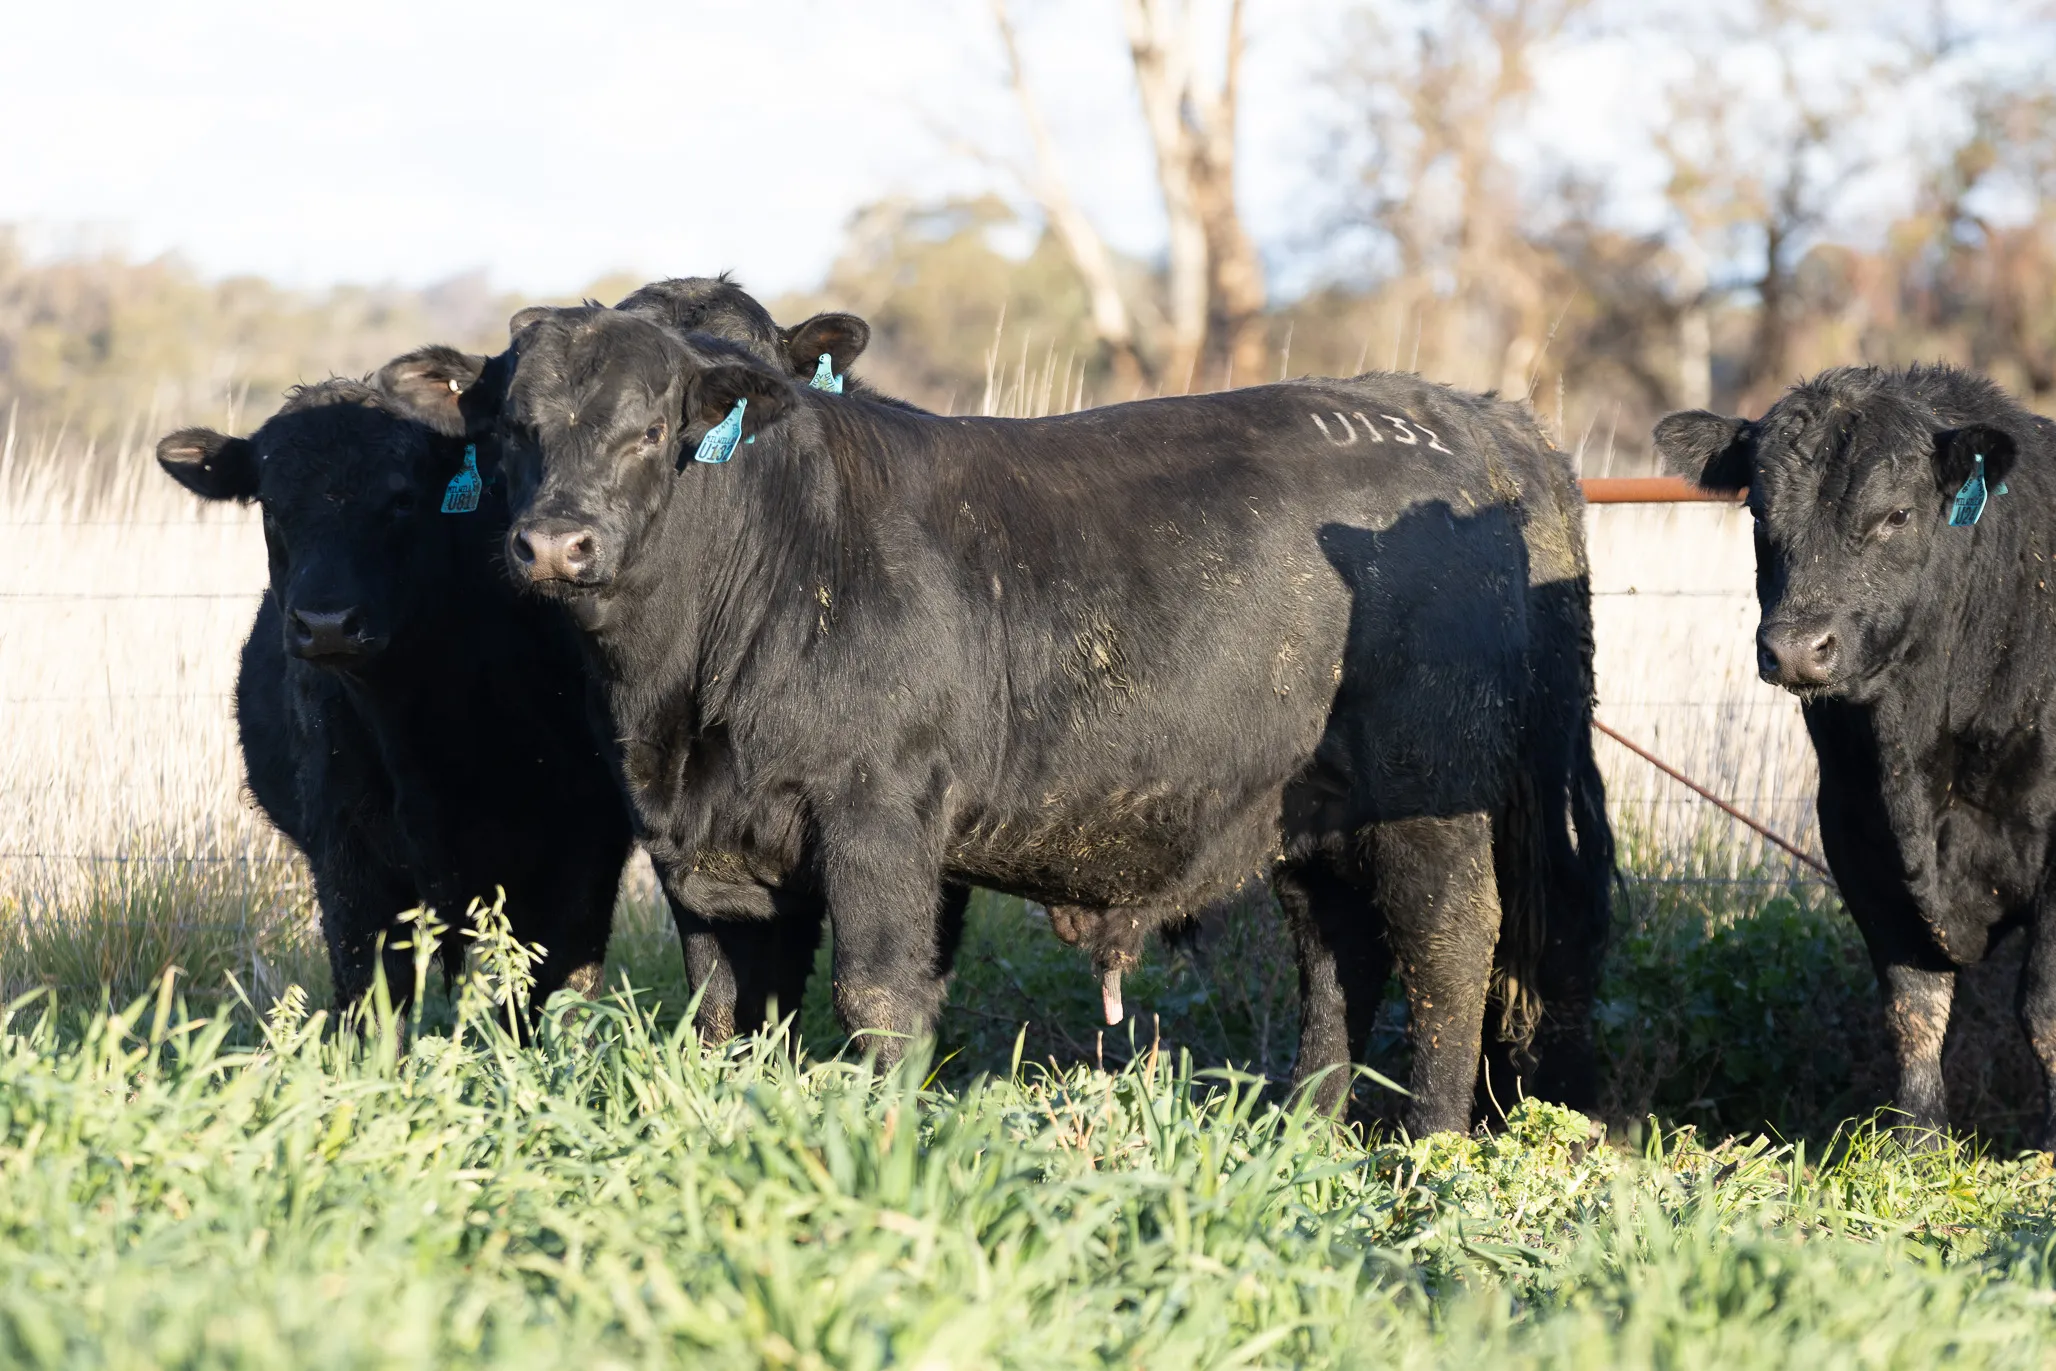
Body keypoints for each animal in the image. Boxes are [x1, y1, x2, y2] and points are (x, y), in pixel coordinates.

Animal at [156, 355, 635, 1019]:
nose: (327, 623)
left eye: (403, 499)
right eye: (271, 505)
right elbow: (373, 1000)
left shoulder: (583, 848)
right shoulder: (349, 864)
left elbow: (546, 995)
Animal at [468, 305, 1577, 1136]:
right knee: (1337, 953)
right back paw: (1304, 1129)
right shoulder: (705, 852)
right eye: (515, 429)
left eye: (648, 431)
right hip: (1310, 811)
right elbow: (726, 1008)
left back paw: (1426, 1149)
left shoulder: (878, 818)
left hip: (1430, 800)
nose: (555, 543)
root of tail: (1452, 413)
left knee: (1446, 946)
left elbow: (879, 997)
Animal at [1656, 363, 2056, 1151]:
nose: (1794, 648)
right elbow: (1914, 1006)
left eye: (1897, 514)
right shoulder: (1859, 840)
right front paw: (1917, 1148)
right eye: (1757, 515)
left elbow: (2043, 1012)